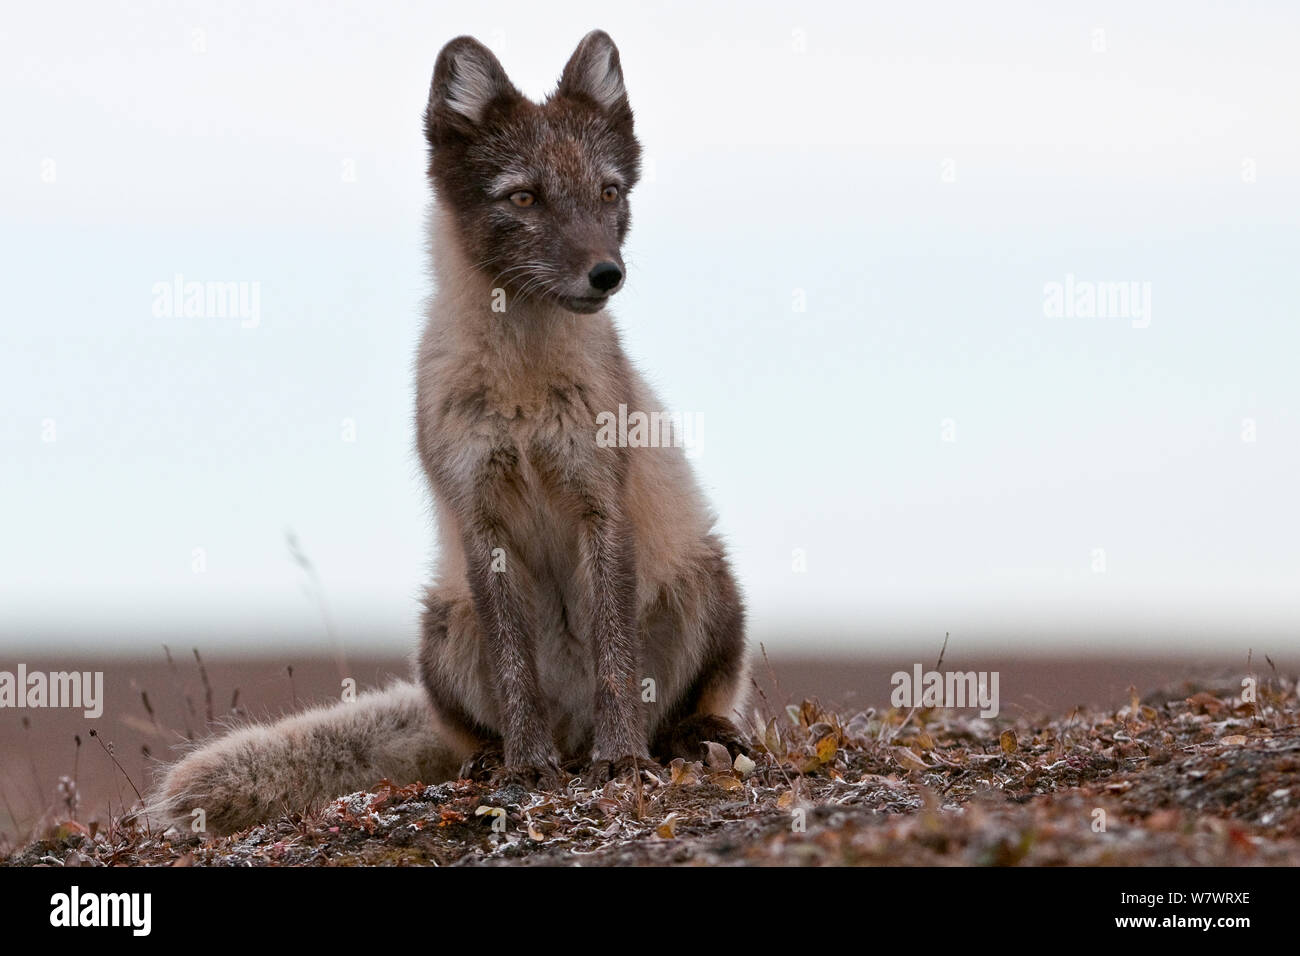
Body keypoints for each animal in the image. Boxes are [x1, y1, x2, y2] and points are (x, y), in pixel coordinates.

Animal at [147, 31, 748, 837]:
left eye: (609, 193)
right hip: (441, 623)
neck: (523, 389)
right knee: (491, 720)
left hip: (705, 578)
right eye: (524, 197)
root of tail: (574, 726)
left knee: (679, 702)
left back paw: (687, 738)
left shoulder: (602, 504)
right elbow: (516, 672)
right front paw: (527, 769)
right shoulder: (476, 516)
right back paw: (500, 759)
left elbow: (617, 666)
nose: (607, 274)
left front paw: (623, 762)